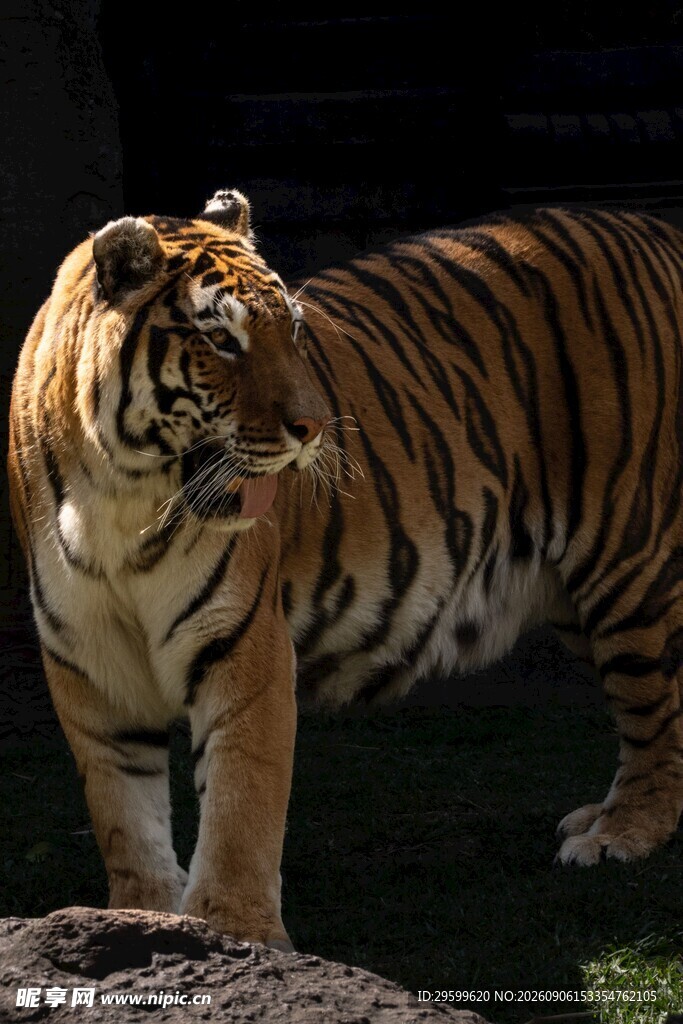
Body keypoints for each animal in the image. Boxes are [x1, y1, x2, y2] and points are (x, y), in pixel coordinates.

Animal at [8, 189, 683, 953]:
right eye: (221, 341)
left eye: (294, 332)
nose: (313, 429)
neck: (122, 501)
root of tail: (656, 229)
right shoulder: (89, 667)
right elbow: (125, 817)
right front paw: (139, 920)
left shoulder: (243, 645)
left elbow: (241, 805)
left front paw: (238, 936)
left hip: (623, 555)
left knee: (652, 714)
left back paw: (621, 832)